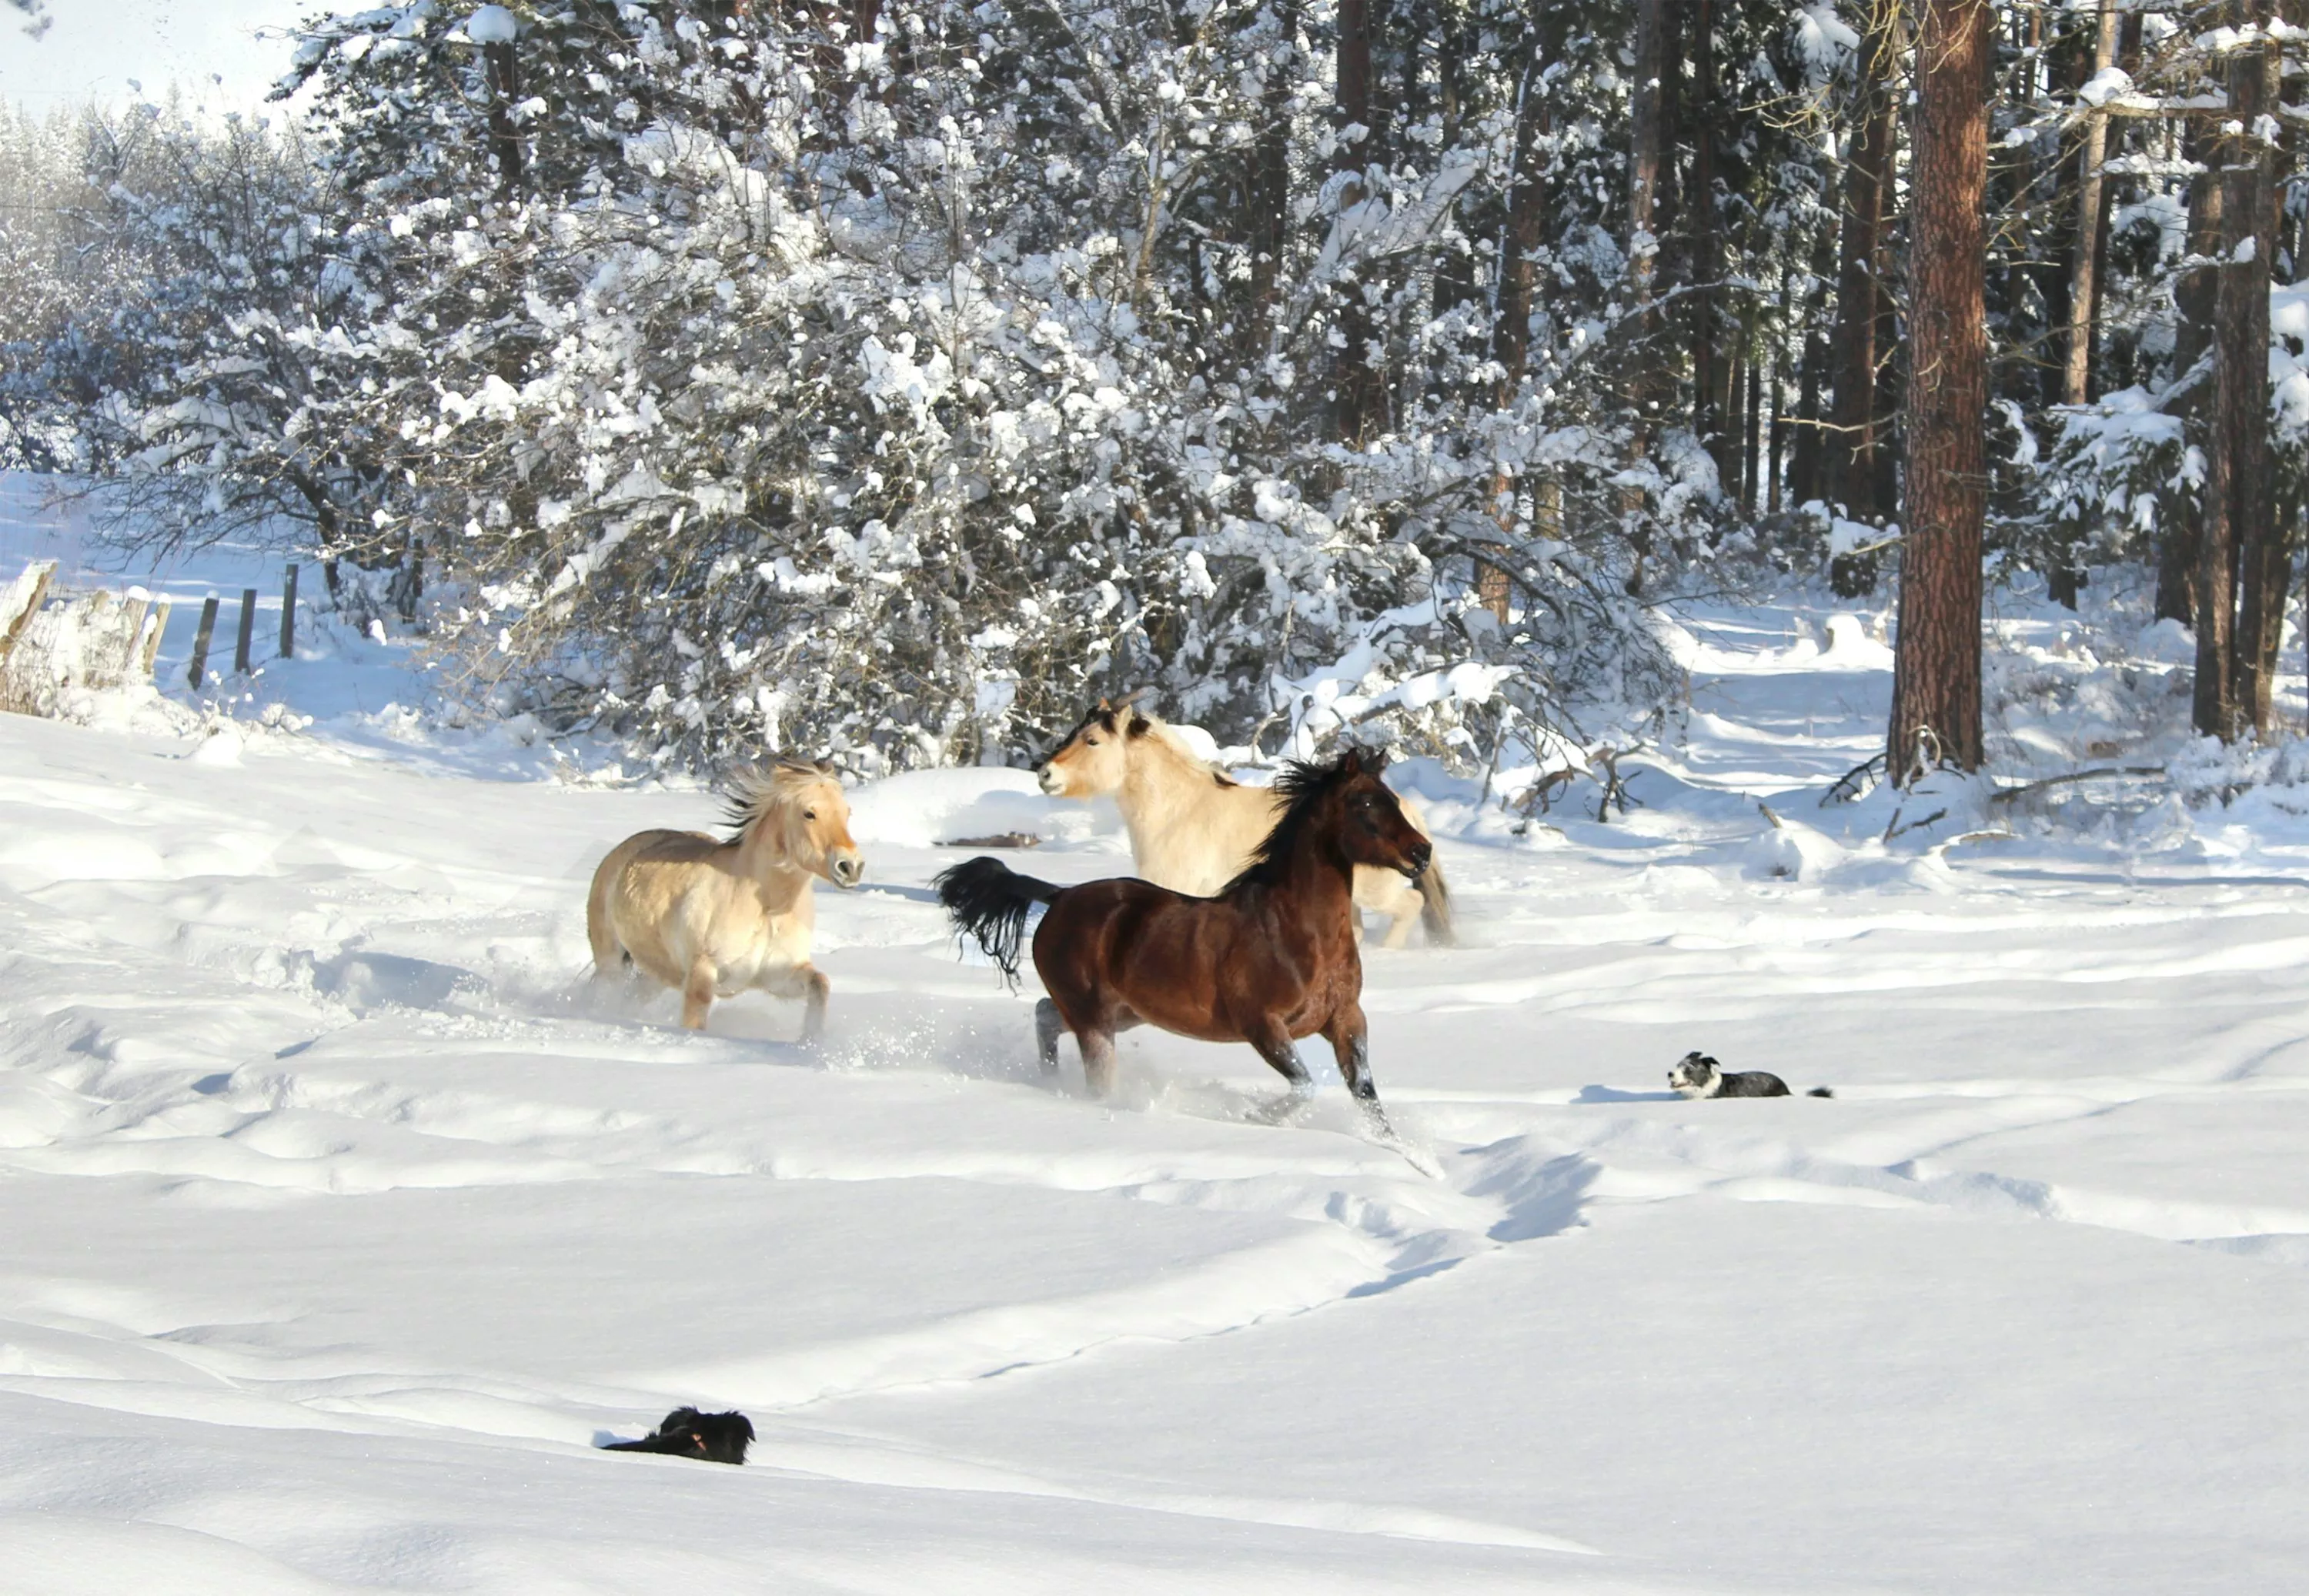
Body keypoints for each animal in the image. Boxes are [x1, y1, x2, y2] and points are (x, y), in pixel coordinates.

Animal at [586, 758, 863, 1038]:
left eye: (847, 813)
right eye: (809, 813)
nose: (850, 866)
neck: (767, 908)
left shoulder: (779, 975)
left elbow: (820, 984)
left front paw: (811, 1040)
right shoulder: (703, 974)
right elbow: (695, 1021)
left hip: (655, 974)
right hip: (612, 962)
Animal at [935, 749, 1430, 1143]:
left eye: (1392, 799)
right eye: (1366, 802)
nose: (1422, 853)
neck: (1301, 933)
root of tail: (1058, 896)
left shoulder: (1347, 1020)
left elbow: (1366, 1093)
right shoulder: (1263, 1024)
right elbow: (1306, 1085)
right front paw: (1253, 1117)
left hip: (1120, 1014)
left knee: (1043, 1015)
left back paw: (1050, 1082)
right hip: (1094, 1020)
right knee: (1089, 1068)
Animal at [1035, 698, 1453, 948]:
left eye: (1092, 740)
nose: (1045, 775)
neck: (1177, 810)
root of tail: (1411, 816)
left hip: (1377, 891)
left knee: (1411, 904)